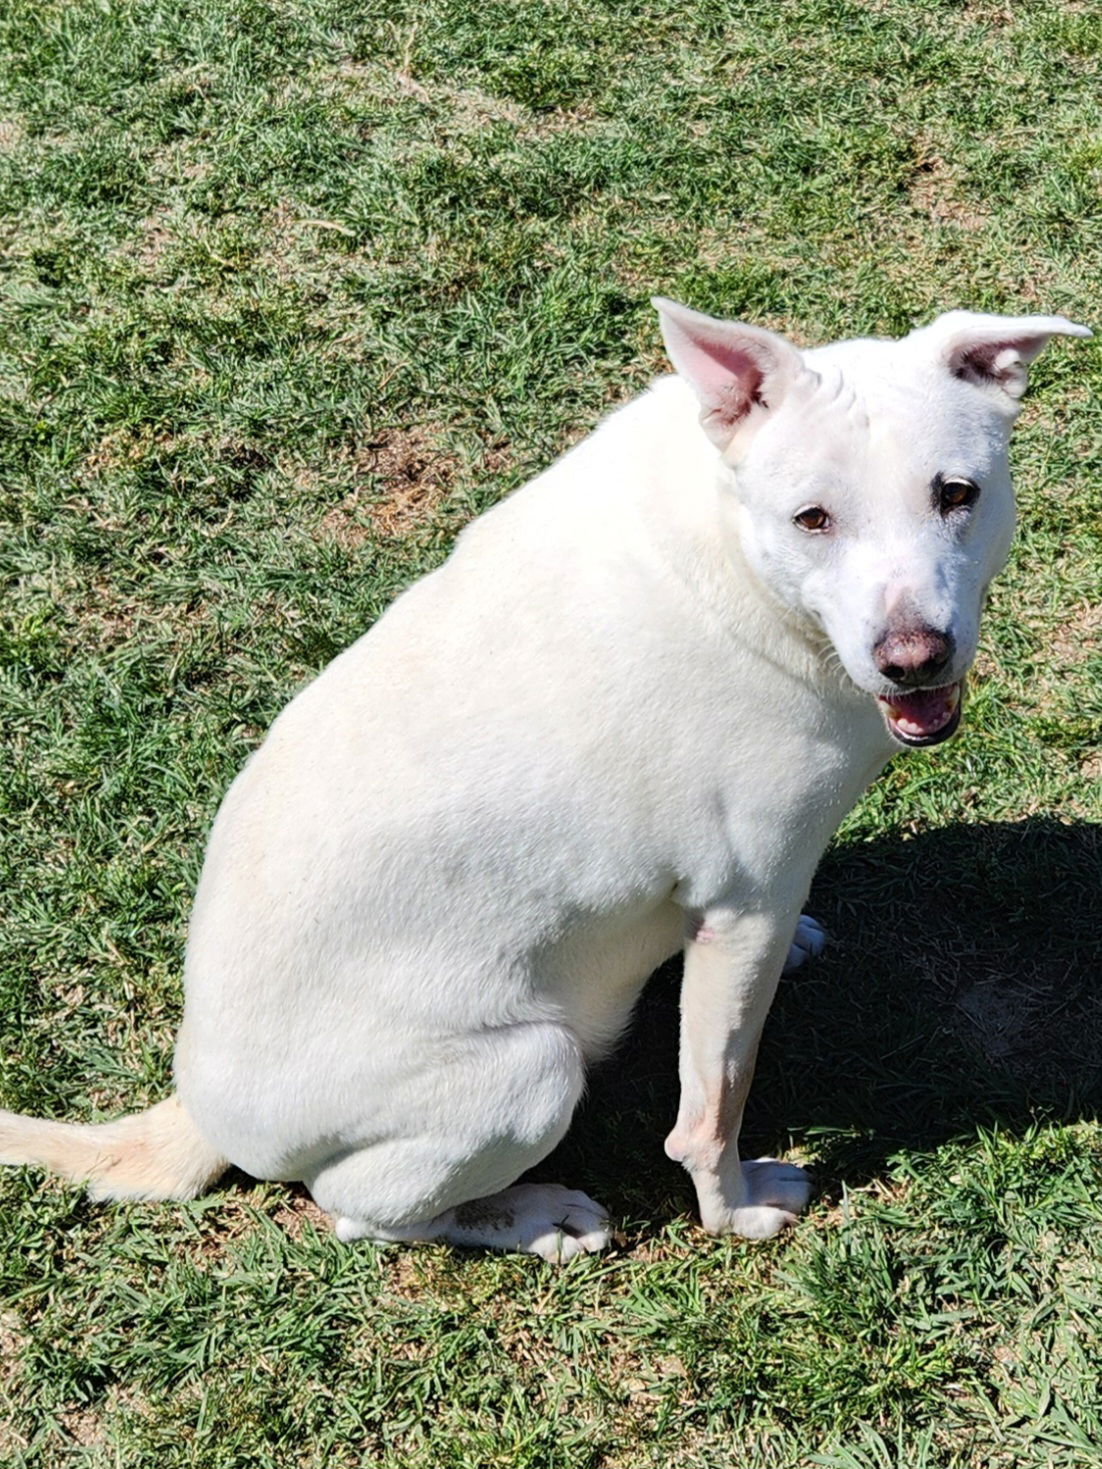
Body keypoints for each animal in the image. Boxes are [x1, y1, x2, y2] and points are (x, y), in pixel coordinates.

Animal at [0, 301, 1087, 1263]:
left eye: (956, 493)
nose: (913, 657)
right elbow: (710, 1110)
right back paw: (536, 1217)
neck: (736, 547)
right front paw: (733, 1211)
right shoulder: (742, 906)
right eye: (811, 518)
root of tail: (196, 1102)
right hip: (532, 1068)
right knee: (359, 1212)